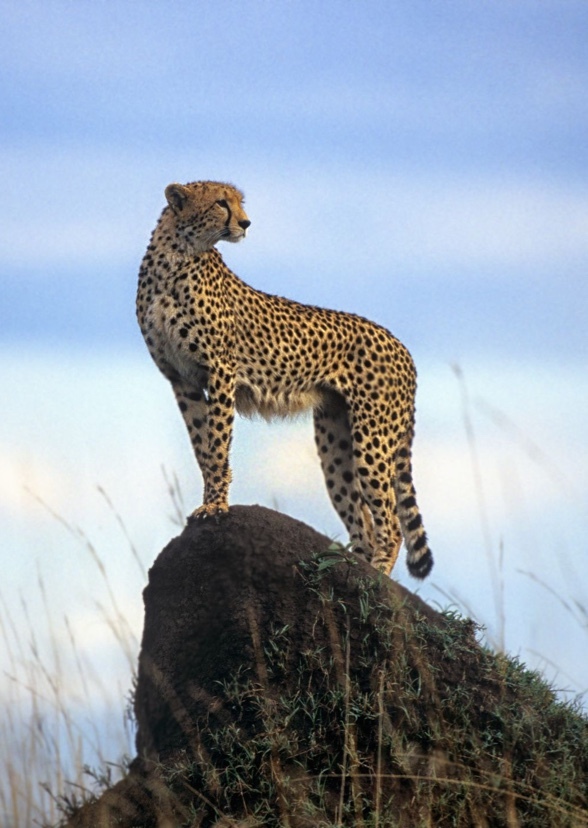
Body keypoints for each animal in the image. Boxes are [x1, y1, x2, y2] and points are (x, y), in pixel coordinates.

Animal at [136, 180, 433, 578]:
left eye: (239, 202)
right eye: (221, 203)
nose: (246, 223)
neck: (176, 256)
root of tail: (402, 346)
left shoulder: (220, 371)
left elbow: (217, 444)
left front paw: (215, 506)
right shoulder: (181, 380)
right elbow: (202, 445)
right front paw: (210, 500)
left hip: (373, 436)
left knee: (390, 520)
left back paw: (380, 577)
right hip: (335, 440)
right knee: (363, 520)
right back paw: (356, 568)